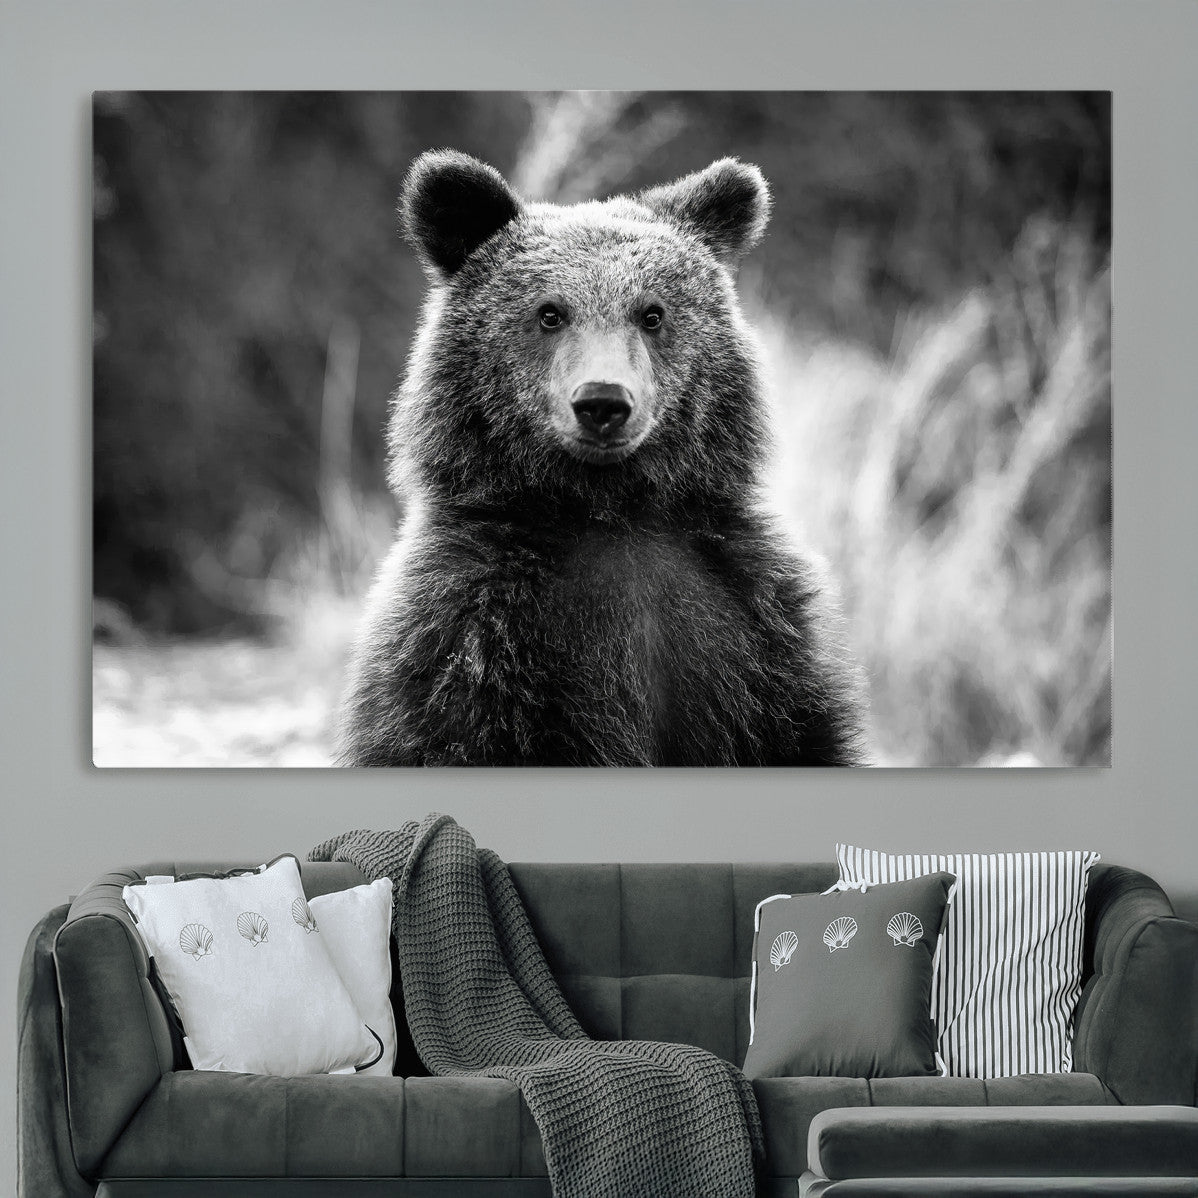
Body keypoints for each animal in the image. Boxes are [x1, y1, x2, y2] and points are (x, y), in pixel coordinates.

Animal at [336, 150, 865, 767]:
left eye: (652, 313)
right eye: (549, 313)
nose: (603, 402)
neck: (609, 510)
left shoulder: (753, 628)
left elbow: (801, 733)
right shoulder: (470, 637)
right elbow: (447, 733)